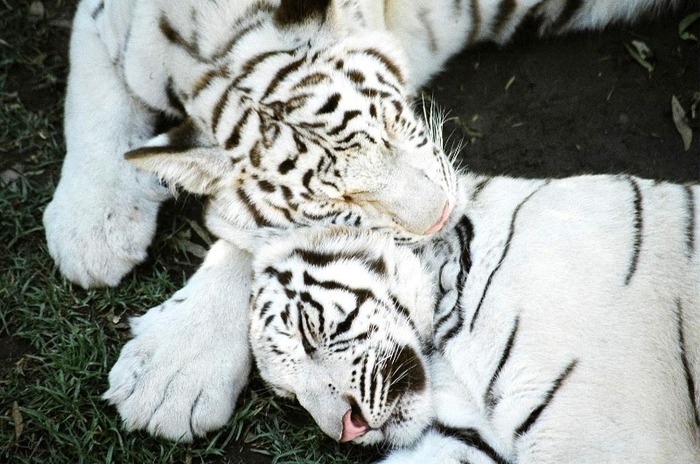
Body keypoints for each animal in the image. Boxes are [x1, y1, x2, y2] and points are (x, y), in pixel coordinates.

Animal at [44, 0, 684, 443]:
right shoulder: (118, 25)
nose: (443, 215)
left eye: (392, 124)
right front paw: (92, 225)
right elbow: (93, 101)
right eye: (339, 202)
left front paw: (172, 370)